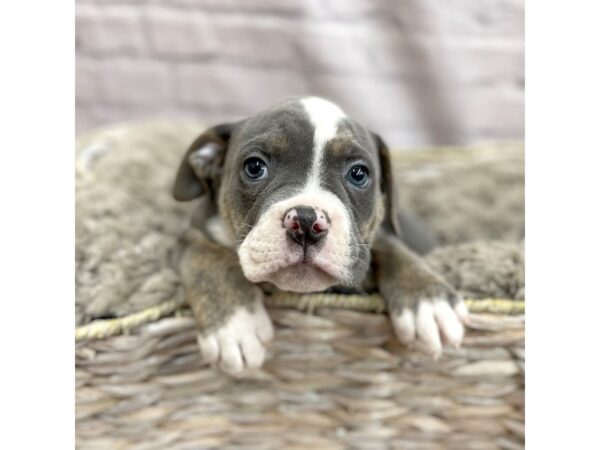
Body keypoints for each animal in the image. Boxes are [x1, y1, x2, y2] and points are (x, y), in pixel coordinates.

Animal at [172, 96, 468, 374]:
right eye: (254, 167)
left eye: (358, 173)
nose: (305, 221)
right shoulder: (190, 236)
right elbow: (207, 259)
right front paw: (235, 324)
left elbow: (392, 248)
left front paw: (429, 301)